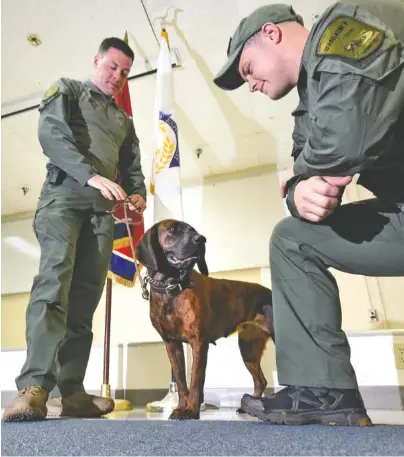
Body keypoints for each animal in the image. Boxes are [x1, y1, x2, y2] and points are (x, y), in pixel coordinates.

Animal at [136, 219, 274, 418]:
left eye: (193, 230)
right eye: (172, 229)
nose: (200, 239)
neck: (171, 287)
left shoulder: (199, 342)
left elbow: (195, 380)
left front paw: (191, 410)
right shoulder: (172, 344)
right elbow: (181, 382)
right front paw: (181, 407)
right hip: (248, 349)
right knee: (261, 380)